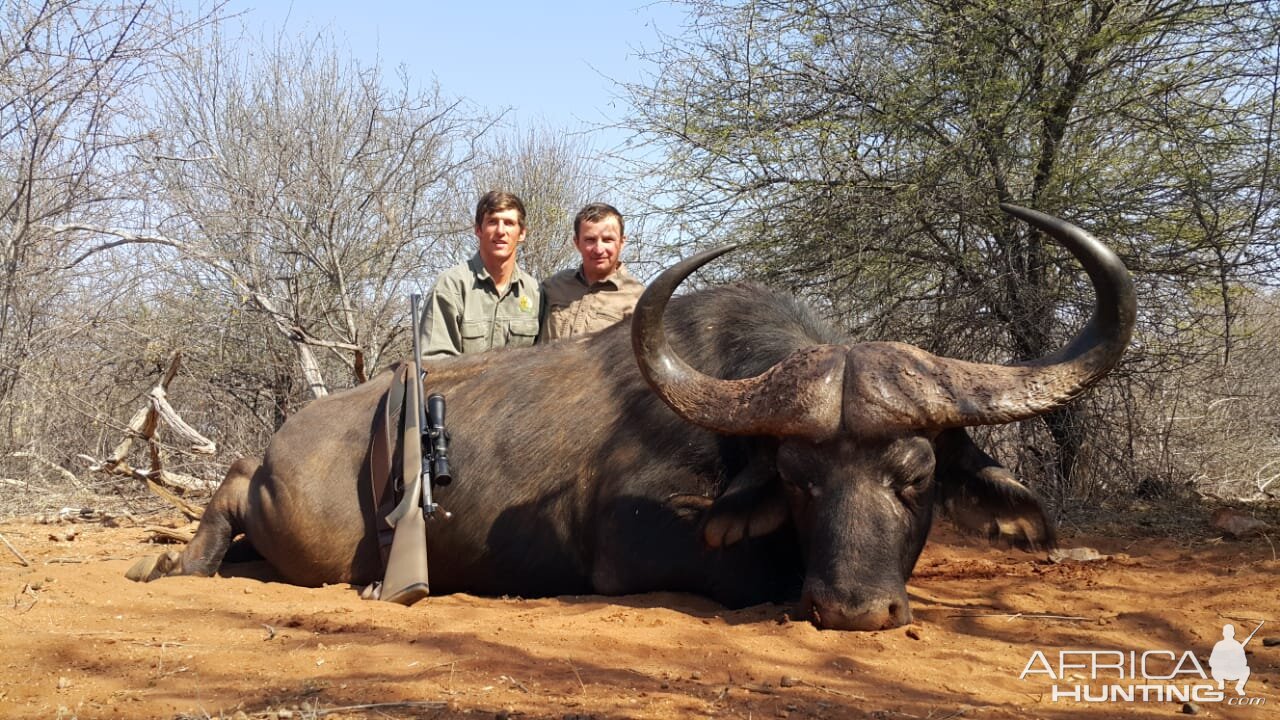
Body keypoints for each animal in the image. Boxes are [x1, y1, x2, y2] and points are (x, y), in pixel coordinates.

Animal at [124, 203, 1136, 627]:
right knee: (221, 508)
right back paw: (167, 564)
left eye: (916, 475)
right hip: (283, 517)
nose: (852, 611)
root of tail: (283, 445)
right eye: (799, 480)